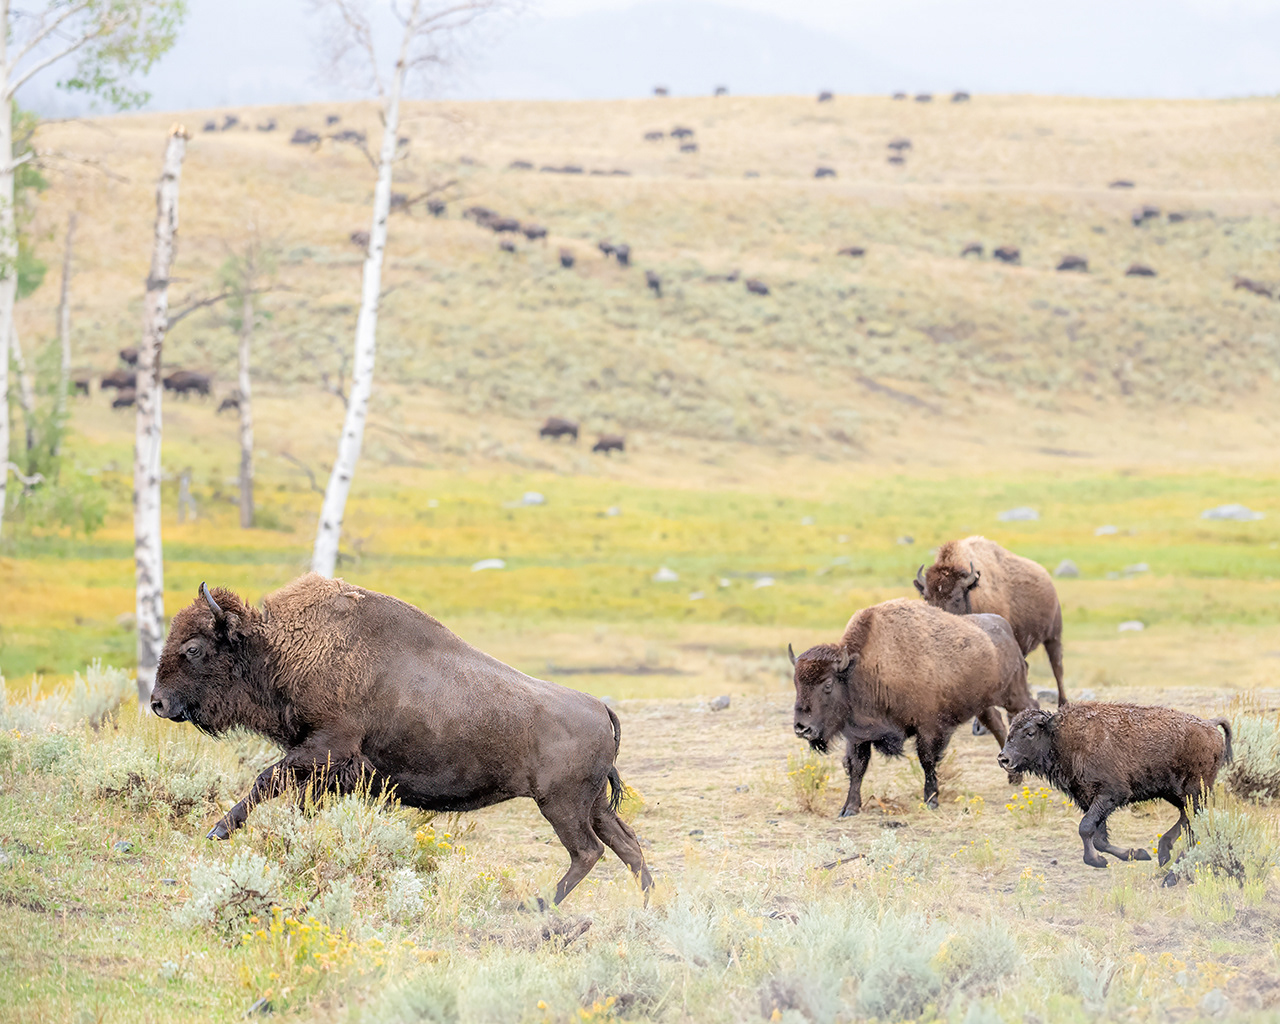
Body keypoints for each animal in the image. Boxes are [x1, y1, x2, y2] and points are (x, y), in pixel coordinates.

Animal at [150, 577, 653, 905]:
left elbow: (265, 780)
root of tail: (600, 708)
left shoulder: (323, 749)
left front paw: (218, 830)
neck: (284, 651)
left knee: (588, 851)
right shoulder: (322, 767)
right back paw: (650, 905)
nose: (157, 702)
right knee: (626, 845)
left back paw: (538, 905)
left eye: (193, 648)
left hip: (560, 805)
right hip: (592, 805)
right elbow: (292, 798)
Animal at [791, 599, 1036, 814]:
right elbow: (857, 767)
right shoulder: (859, 734)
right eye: (796, 683)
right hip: (982, 704)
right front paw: (849, 808)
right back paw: (1013, 778)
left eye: (828, 684)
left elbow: (927, 761)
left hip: (1014, 694)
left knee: (1022, 712)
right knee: (997, 725)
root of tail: (1005, 628)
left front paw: (931, 801)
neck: (862, 669)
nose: (802, 728)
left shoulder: (928, 728)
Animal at [915, 535, 1067, 705]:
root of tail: (1048, 580)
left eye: (957, 598)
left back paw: (1062, 702)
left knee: (1057, 667)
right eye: (926, 597)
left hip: (1053, 636)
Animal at [999, 703, 1231, 874]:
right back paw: (1163, 853)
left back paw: (1172, 868)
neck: (1061, 735)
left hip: (1194, 791)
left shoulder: (1110, 795)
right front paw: (1136, 853)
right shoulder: (1089, 800)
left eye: (1029, 732)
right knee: (1186, 818)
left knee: (1194, 821)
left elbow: (1085, 828)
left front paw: (1097, 860)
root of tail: (1211, 726)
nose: (1003, 758)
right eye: (1010, 730)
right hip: (1175, 793)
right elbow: (1099, 837)